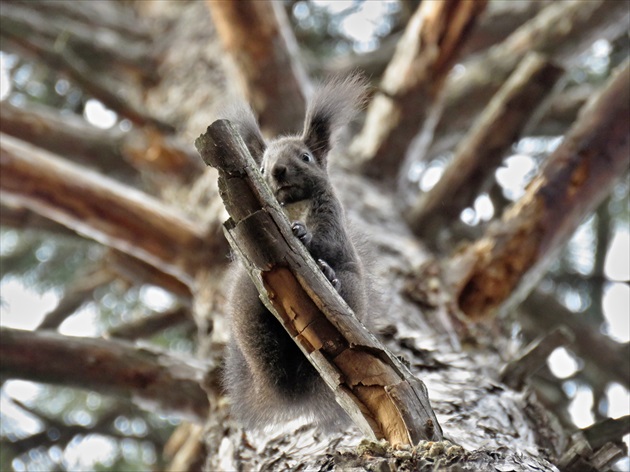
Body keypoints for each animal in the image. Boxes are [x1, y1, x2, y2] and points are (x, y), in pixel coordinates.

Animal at [225, 74, 370, 432]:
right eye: (261, 168)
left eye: (306, 157)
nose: (278, 170)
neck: (292, 204)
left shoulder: (332, 220)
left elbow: (327, 243)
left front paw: (304, 234)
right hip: (245, 300)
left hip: (353, 290)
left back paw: (330, 277)